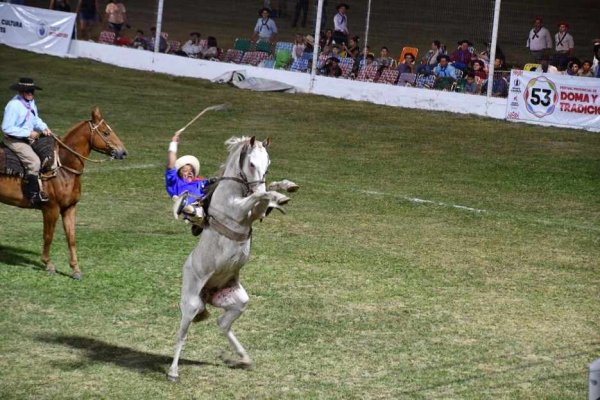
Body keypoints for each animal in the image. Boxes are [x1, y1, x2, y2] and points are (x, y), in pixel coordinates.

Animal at [0, 108, 126, 280]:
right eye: (106, 132)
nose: (123, 152)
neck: (63, 169)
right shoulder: (51, 209)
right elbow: (48, 236)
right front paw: (48, 264)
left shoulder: (69, 208)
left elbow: (71, 237)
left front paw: (76, 270)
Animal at [168, 135, 280, 382]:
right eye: (251, 164)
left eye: (267, 165)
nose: (260, 183)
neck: (234, 188)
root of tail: (207, 294)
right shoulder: (237, 210)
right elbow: (258, 196)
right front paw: (277, 194)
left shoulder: (253, 213)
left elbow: (261, 201)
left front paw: (280, 191)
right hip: (191, 304)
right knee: (182, 333)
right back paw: (173, 371)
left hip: (237, 302)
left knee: (222, 324)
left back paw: (243, 359)